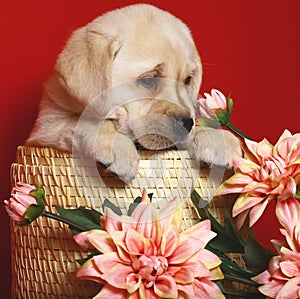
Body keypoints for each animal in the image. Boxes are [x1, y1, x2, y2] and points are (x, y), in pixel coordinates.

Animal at [26, 3, 241, 183]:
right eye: (149, 79)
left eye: (188, 80)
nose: (186, 124)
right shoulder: (46, 128)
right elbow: (86, 120)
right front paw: (119, 147)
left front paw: (216, 136)